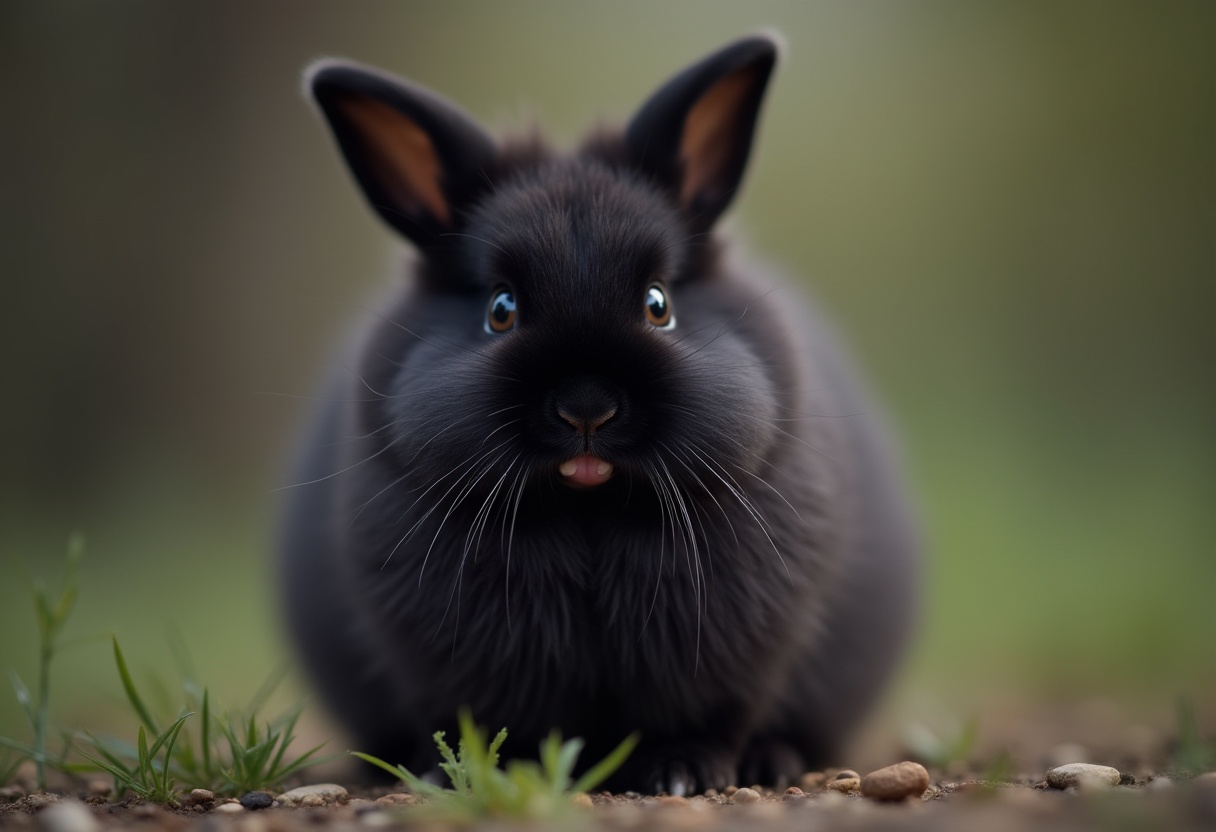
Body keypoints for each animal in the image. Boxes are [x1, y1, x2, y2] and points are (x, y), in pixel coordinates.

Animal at [280, 34, 920, 796]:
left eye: (658, 304)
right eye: (500, 309)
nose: (587, 409)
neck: (588, 513)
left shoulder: (727, 657)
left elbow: (703, 717)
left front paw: (680, 775)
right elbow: (488, 722)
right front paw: (494, 773)